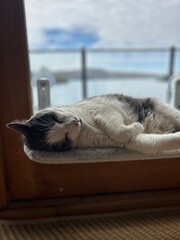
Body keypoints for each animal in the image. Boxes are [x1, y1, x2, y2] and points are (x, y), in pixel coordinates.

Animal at [5, 94, 180, 154]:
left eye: (56, 119)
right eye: (65, 138)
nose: (75, 122)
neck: (86, 126)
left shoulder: (102, 110)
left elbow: (115, 128)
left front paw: (137, 124)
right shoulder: (128, 141)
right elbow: (125, 135)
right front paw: (138, 126)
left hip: (158, 105)